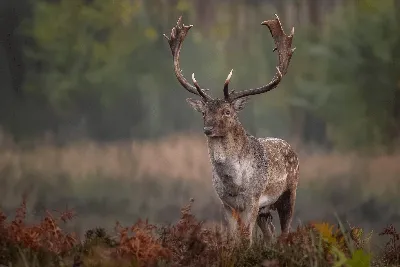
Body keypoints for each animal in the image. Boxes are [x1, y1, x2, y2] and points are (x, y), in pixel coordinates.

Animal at [163, 14, 300, 245]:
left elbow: (247, 239)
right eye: (204, 112)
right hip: (265, 210)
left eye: (227, 111)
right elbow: (233, 238)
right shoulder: (226, 203)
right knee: (270, 235)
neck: (234, 184)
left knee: (285, 233)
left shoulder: (253, 199)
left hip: (289, 193)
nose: (208, 128)